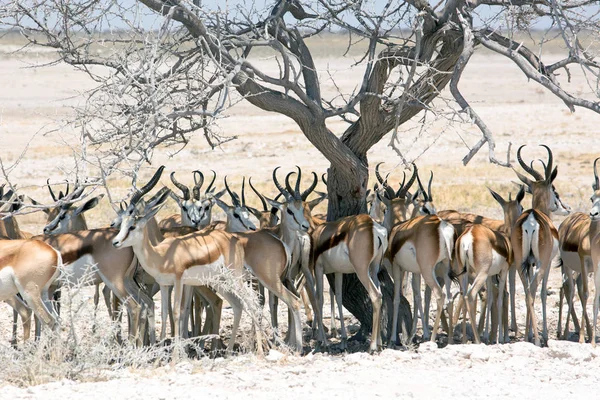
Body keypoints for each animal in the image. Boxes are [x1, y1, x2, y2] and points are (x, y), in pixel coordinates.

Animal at [452, 185, 524, 344]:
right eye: (522, 207)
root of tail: (469, 234)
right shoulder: (503, 271)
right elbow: (500, 298)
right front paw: (500, 338)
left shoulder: (491, 276)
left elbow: (491, 298)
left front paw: (488, 336)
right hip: (481, 274)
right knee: (471, 295)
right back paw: (477, 340)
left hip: (465, 274)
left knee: (464, 296)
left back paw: (465, 339)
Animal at [512, 145, 568, 346]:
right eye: (554, 190)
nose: (566, 208)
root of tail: (531, 219)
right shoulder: (547, 262)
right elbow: (543, 292)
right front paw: (544, 335)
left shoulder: (529, 263)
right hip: (541, 264)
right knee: (535, 288)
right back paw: (538, 339)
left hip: (520, 263)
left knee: (527, 290)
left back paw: (528, 337)